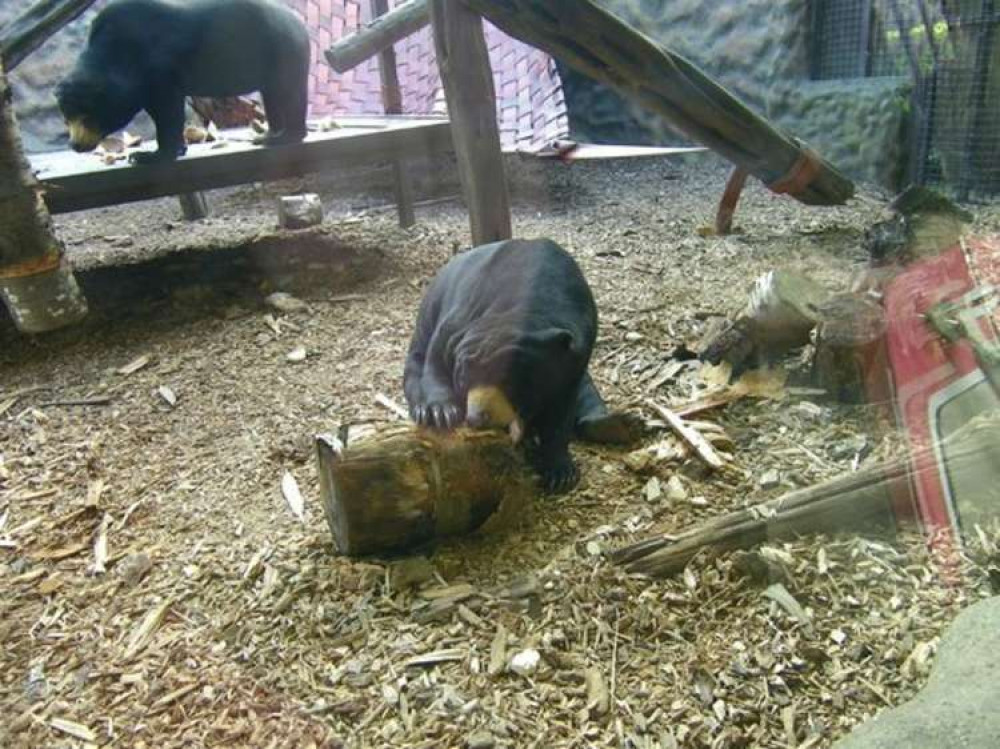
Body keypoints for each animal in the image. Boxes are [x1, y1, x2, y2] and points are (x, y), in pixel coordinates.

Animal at [55, 0, 308, 164]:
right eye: (66, 119)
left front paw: (148, 156)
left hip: (282, 51)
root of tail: (298, 23)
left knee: (289, 94)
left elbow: (168, 110)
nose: (76, 145)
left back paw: (285, 137)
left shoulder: (159, 68)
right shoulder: (142, 87)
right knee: (272, 97)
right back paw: (269, 135)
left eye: (88, 117)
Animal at [404, 237, 644, 494]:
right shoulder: (458, 319)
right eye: (463, 379)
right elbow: (436, 360)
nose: (477, 418)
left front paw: (560, 473)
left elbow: (562, 409)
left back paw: (624, 425)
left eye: (513, 383)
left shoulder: (578, 350)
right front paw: (441, 413)